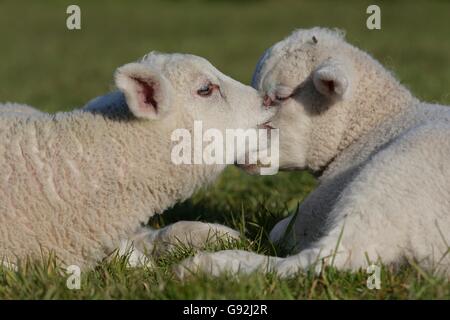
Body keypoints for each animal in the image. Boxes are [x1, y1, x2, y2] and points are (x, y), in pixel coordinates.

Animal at [175, 28, 450, 278]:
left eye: (280, 97)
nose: (238, 152)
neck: (374, 125)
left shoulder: (321, 202)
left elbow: (280, 231)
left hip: (393, 183)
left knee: (323, 258)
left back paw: (204, 265)